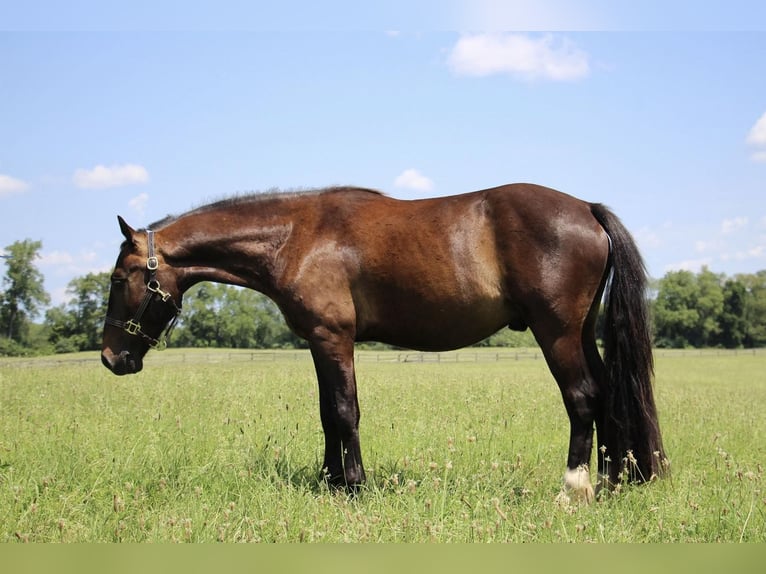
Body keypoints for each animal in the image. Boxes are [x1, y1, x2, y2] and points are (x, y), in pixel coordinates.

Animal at [100, 184, 664, 504]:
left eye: (119, 278)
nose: (111, 358)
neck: (296, 236)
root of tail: (587, 210)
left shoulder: (335, 338)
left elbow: (344, 411)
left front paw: (354, 486)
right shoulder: (319, 342)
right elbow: (327, 413)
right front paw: (329, 481)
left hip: (557, 333)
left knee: (583, 398)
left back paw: (575, 489)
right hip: (581, 332)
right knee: (609, 396)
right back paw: (613, 483)